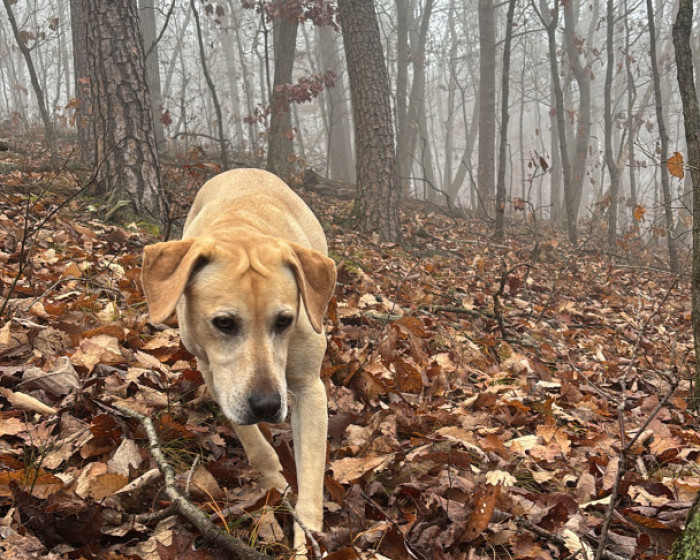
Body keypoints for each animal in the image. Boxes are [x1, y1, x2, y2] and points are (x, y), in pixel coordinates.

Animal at [141, 168, 336, 552]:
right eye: (224, 323)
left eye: (284, 321)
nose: (266, 405)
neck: (242, 229)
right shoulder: (214, 371)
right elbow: (249, 436)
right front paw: (273, 478)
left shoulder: (309, 387)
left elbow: (311, 472)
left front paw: (306, 539)